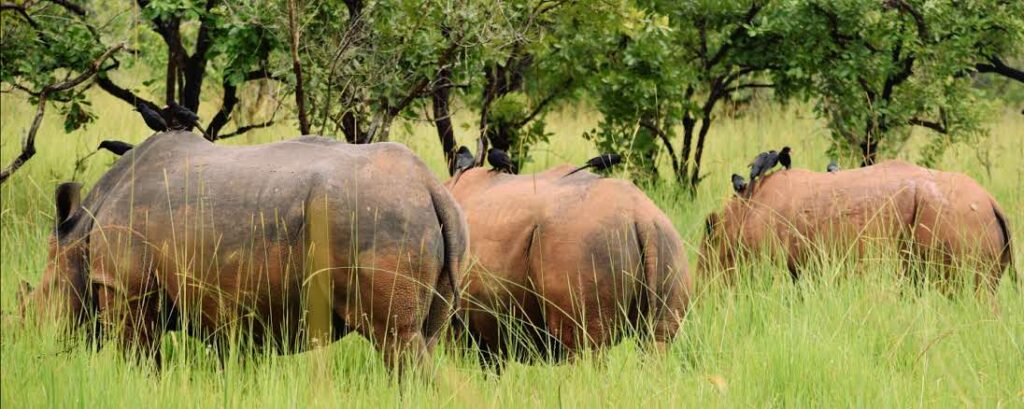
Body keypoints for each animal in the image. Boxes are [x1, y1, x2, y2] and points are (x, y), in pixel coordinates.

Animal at [19, 132, 468, 374]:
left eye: (38, 299)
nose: (27, 342)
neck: (81, 232)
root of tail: (429, 184)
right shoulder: (226, 303)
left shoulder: (125, 288)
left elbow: (138, 356)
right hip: (431, 224)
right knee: (425, 338)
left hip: (377, 217)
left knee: (396, 341)